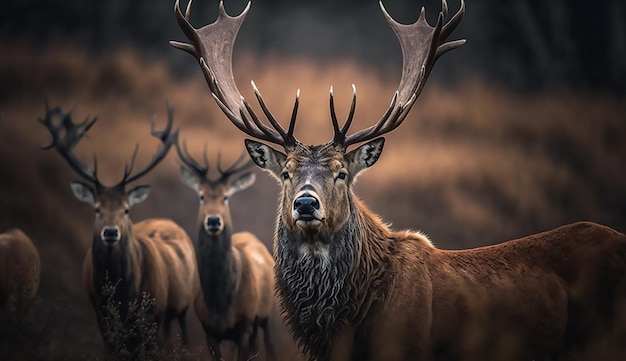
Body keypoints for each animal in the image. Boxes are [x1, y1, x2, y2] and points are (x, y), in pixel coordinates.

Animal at [39, 103, 197, 354]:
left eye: (126, 209)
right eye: (97, 208)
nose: (111, 232)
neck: (121, 293)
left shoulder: (153, 313)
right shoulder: (99, 312)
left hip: (180, 305)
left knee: (181, 336)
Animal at [174, 139, 274, 360]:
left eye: (226, 197)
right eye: (201, 196)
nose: (213, 220)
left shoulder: (245, 324)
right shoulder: (209, 330)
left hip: (264, 315)